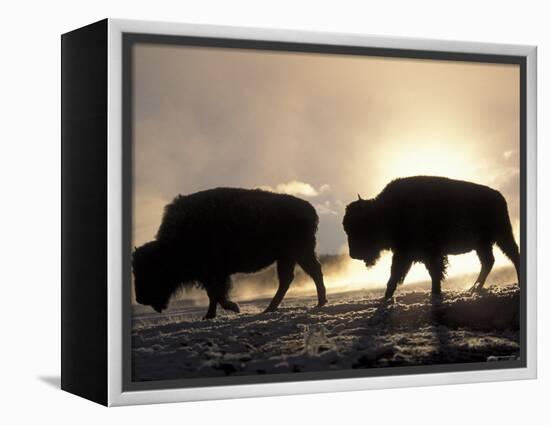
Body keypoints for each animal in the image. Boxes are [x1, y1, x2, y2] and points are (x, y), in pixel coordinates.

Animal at [133, 187, 328, 316]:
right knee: (291, 278)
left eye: (151, 270)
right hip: (289, 257)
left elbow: (217, 294)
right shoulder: (209, 276)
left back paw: (316, 303)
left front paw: (232, 308)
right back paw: (273, 308)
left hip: (298, 253)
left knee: (310, 273)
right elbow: (213, 295)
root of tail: (309, 209)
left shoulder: (214, 274)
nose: (140, 299)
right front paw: (210, 316)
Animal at [344, 176, 520, 298]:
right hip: (483, 244)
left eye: (359, 228)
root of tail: (499, 196)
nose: (353, 255)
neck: (384, 211)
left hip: (501, 236)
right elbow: (395, 274)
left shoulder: (425, 254)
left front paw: (435, 292)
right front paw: (386, 297)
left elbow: (432, 273)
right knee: (489, 261)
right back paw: (474, 288)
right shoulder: (405, 253)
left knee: (511, 255)